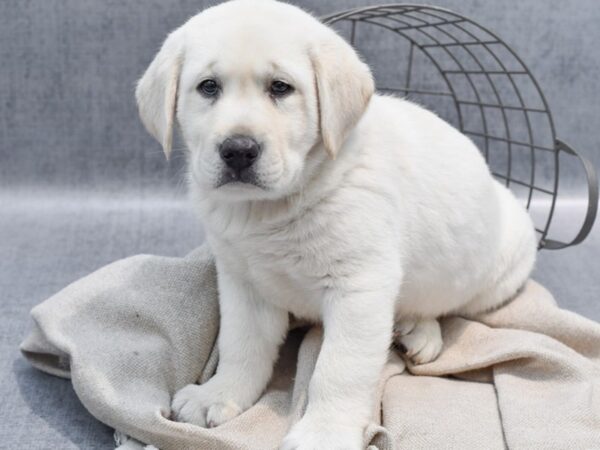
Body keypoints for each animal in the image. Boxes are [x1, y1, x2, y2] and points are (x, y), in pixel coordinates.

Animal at [137, 0, 540, 450]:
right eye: (208, 87)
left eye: (281, 88)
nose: (238, 150)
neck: (272, 209)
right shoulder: (243, 280)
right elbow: (242, 343)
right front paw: (220, 394)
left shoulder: (359, 286)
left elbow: (339, 368)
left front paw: (324, 431)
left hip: (503, 263)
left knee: (449, 308)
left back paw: (421, 330)